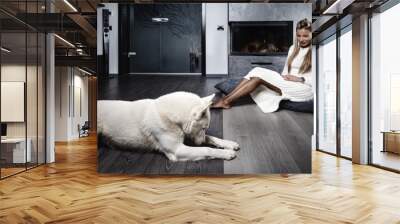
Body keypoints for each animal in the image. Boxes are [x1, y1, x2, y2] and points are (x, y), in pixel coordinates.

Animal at [98, 91, 239, 161]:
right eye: (203, 128)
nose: (201, 141)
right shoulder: (177, 150)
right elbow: (206, 149)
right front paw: (227, 153)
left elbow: (211, 138)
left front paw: (229, 144)